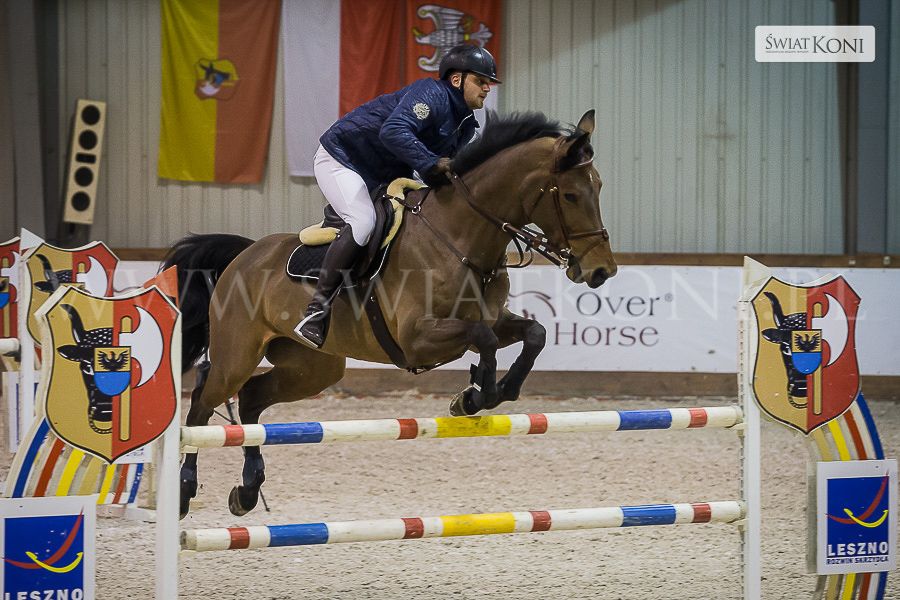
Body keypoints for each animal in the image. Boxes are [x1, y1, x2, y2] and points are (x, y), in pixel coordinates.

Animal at [164, 110, 617, 519]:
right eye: (571, 195)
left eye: (599, 186)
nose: (601, 271)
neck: (459, 239)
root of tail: (244, 254)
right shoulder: (417, 338)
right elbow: (483, 339)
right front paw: (478, 394)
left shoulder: (492, 318)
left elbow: (534, 333)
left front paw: (488, 392)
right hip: (237, 355)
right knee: (203, 404)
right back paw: (184, 491)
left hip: (312, 367)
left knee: (253, 399)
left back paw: (247, 490)